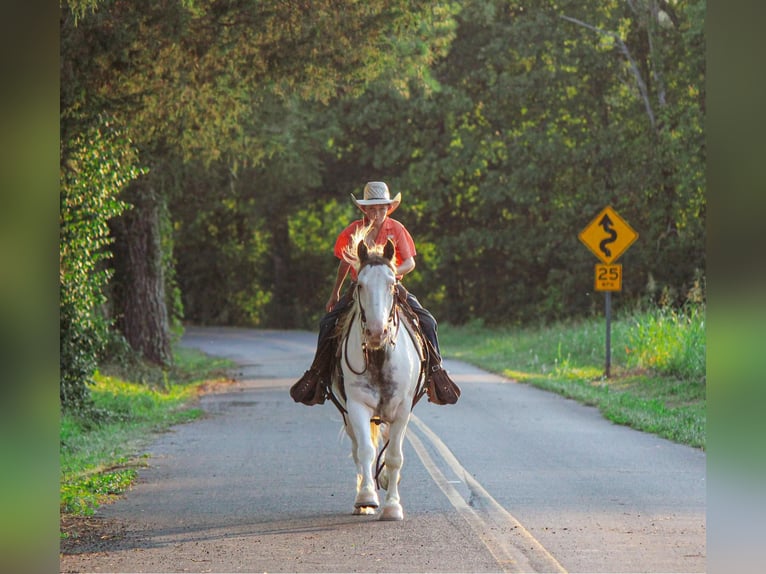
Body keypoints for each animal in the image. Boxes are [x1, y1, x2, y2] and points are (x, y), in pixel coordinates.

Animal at [330, 237, 425, 521]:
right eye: (360, 285)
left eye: (392, 284)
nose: (375, 332)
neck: (379, 356)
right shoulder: (356, 406)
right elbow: (366, 451)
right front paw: (367, 497)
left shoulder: (403, 410)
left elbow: (394, 456)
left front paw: (392, 506)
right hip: (347, 413)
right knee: (359, 450)